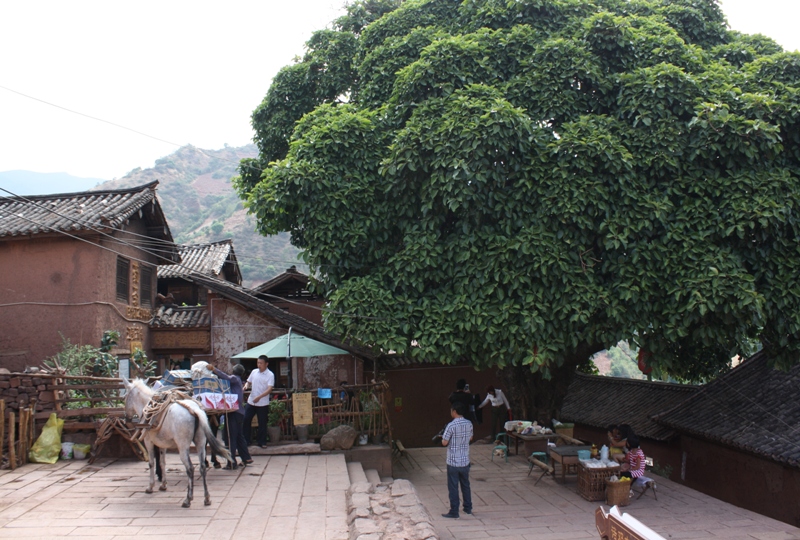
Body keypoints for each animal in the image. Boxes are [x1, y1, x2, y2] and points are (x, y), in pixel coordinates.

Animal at [122, 378, 230, 508]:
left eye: (125, 397)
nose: (126, 419)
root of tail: (195, 411)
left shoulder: (149, 442)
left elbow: (151, 463)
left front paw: (150, 487)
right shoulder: (162, 444)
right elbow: (162, 463)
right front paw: (163, 485)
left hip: (183, 447)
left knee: (190, 469)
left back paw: (188, 499)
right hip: (200, 443)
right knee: (202, 467)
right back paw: (207, 498)